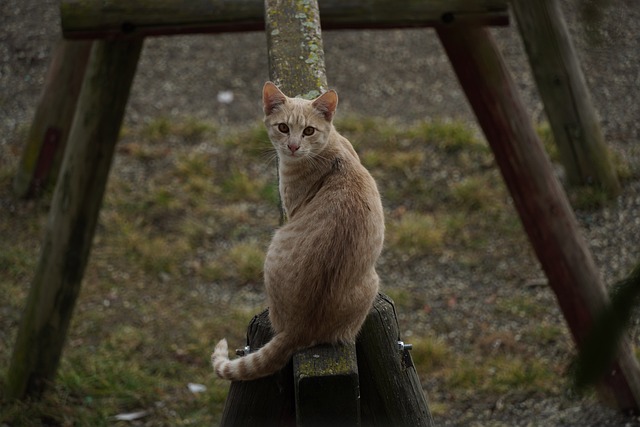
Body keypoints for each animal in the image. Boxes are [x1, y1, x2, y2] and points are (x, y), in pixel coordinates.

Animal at [211, 82, 384, 382]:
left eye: (308, 131)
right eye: (283, 127)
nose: (292, 146)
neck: (329, 151)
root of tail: (299, 328)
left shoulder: (291, 209)